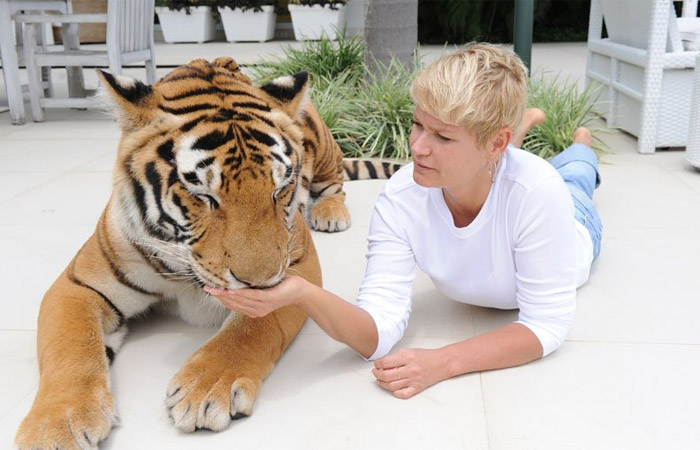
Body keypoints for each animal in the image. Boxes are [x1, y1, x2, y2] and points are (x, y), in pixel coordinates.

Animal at [13, 57, 400, 450]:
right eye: (202, 195)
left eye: (279, 190)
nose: (258, 281)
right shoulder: (78, 285)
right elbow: (71, 348)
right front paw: (56, 426)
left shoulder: (298, 267)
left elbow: (253, 327)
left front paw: (208, 389)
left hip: (322, 147)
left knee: (335, 184)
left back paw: (330, 213)